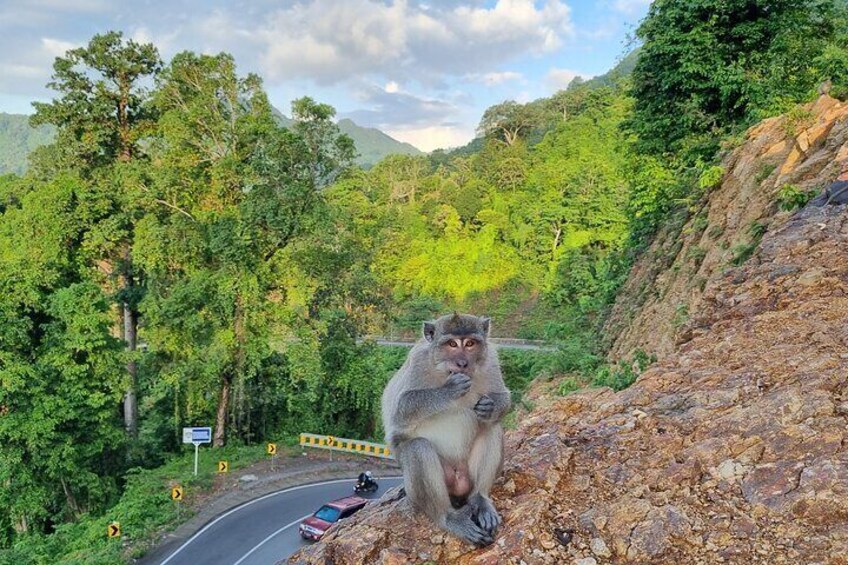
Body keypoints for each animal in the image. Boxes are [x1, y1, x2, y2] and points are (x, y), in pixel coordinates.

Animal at [382, 310, 510, 544]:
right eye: (451, 344)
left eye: (470, 343)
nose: (462, 363)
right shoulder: (418, 363)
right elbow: (400, 410)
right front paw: (449, 389)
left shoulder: (491, 361)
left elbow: (503, 398)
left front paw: (490, 407)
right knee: (417, 448)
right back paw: (448, 517)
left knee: (492, 429)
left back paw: (480, 499)